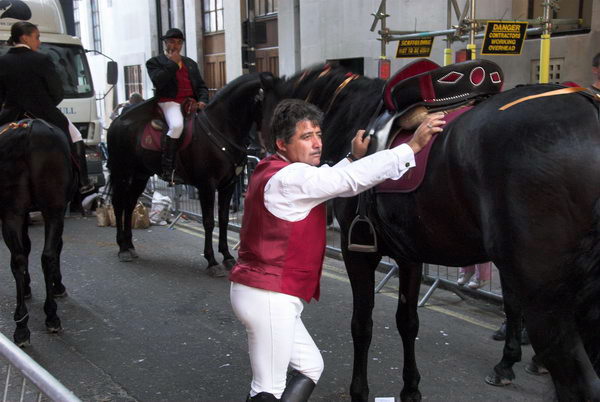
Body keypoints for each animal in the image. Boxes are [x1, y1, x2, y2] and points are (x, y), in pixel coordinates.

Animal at [0, 118, 76, 346]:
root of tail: (28, 129)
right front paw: (57, 285)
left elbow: (26, 247)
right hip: (51, 209)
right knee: (46, 256)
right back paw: (48, 316)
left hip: (14, 212)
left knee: (20, 259)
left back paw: (23, 325)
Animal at [106, 72, 268, 276]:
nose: (262, 149)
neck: (221, 128)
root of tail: (116, 122)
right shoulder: (207, 186)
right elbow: (209, 221)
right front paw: (212, 261)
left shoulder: (228, 185)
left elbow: (222, 220)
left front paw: (227, 257)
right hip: (122, 173)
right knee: (119, 204)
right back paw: (122, 248)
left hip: (140, 176)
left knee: (129, 204)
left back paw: (129, 245)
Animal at [260, 64, 600, 400]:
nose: (259, 160)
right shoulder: (409, 254)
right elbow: (408, 321)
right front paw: (411, 388)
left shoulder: (356, 250)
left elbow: (362, 323)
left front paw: (360, 391)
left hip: (544, 294)